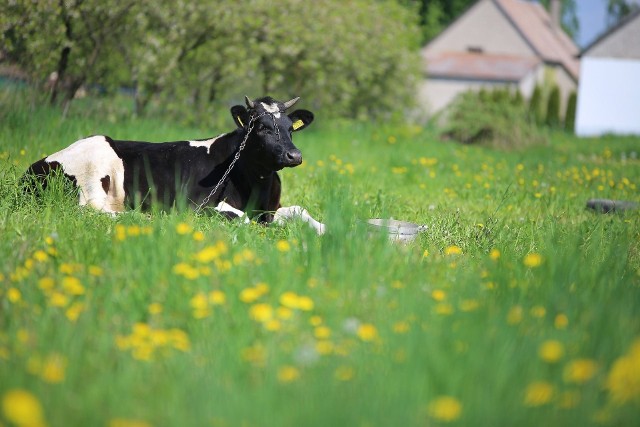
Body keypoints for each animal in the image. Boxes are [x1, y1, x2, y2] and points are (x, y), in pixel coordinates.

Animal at [23, 96, 328, 234]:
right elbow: (242, 219)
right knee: (92, 212)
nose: (294, 155)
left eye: (290, 128)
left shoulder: (270, 208)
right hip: (93, 168)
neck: (256, 183)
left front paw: (328, 229)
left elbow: (300, 210)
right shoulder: (200, 207)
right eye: (262, 127)